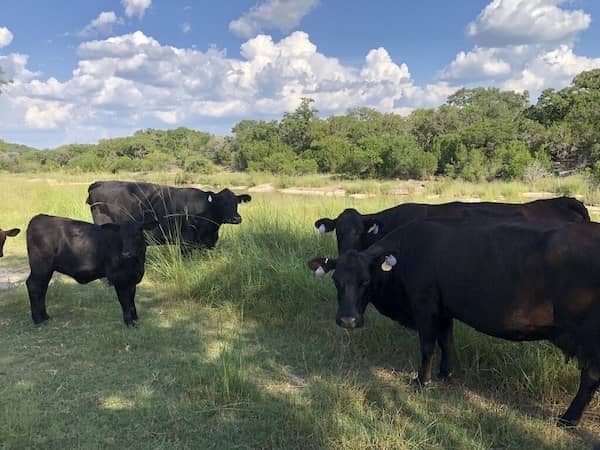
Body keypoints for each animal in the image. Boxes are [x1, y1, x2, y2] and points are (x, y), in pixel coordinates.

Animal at [25, 214, 157, 326]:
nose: (126, 254)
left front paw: (135, 318)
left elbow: (131, 300)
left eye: (137, 234)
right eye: (120, 236)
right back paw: (39, 320)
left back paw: (45, 316)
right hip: (41, 266)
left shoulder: (132, 279)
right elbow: (125, 301)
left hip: (46, 269)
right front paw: (129, 322)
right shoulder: (119, 278)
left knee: (42, 287)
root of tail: (39, 217)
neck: (137, 263)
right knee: (34, 286)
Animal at [86, 182, 251, 251]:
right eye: (221, 203)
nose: (236, 218)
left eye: (236, 202)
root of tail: (98, 183)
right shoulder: (185, 241)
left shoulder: (208, 243)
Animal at [312, 220, 600, 428]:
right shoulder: (444, 310)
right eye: (336, 280)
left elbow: (428, 345)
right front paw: (445, 374)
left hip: (590, 337)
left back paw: (569, 419)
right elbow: (446, 341)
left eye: (366, 281)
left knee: (590, 377)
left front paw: (422, 380)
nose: (347, 320)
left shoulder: (425, 305)